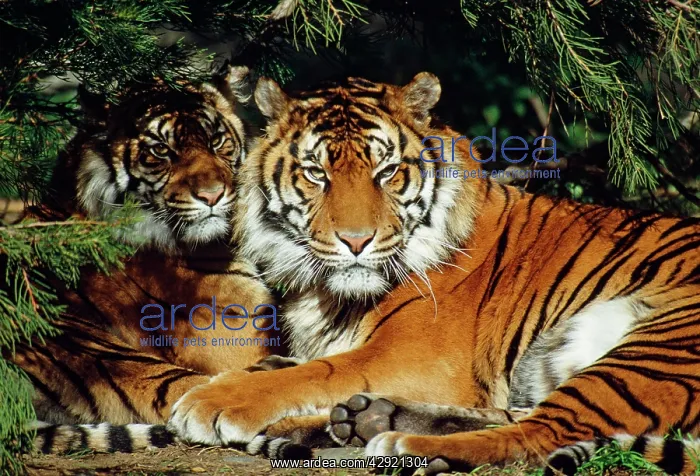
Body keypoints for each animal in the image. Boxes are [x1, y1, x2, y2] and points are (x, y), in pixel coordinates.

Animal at [166, 72, 700, 474]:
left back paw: (402, 443)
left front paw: (212, 402)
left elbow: (319, 370)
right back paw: (370, 417)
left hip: (657, 348)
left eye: (385, 172)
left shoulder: (413, 356)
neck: (328, 293)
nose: (356, 241)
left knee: (541, 434)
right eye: (317, 174)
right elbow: (296, 365)